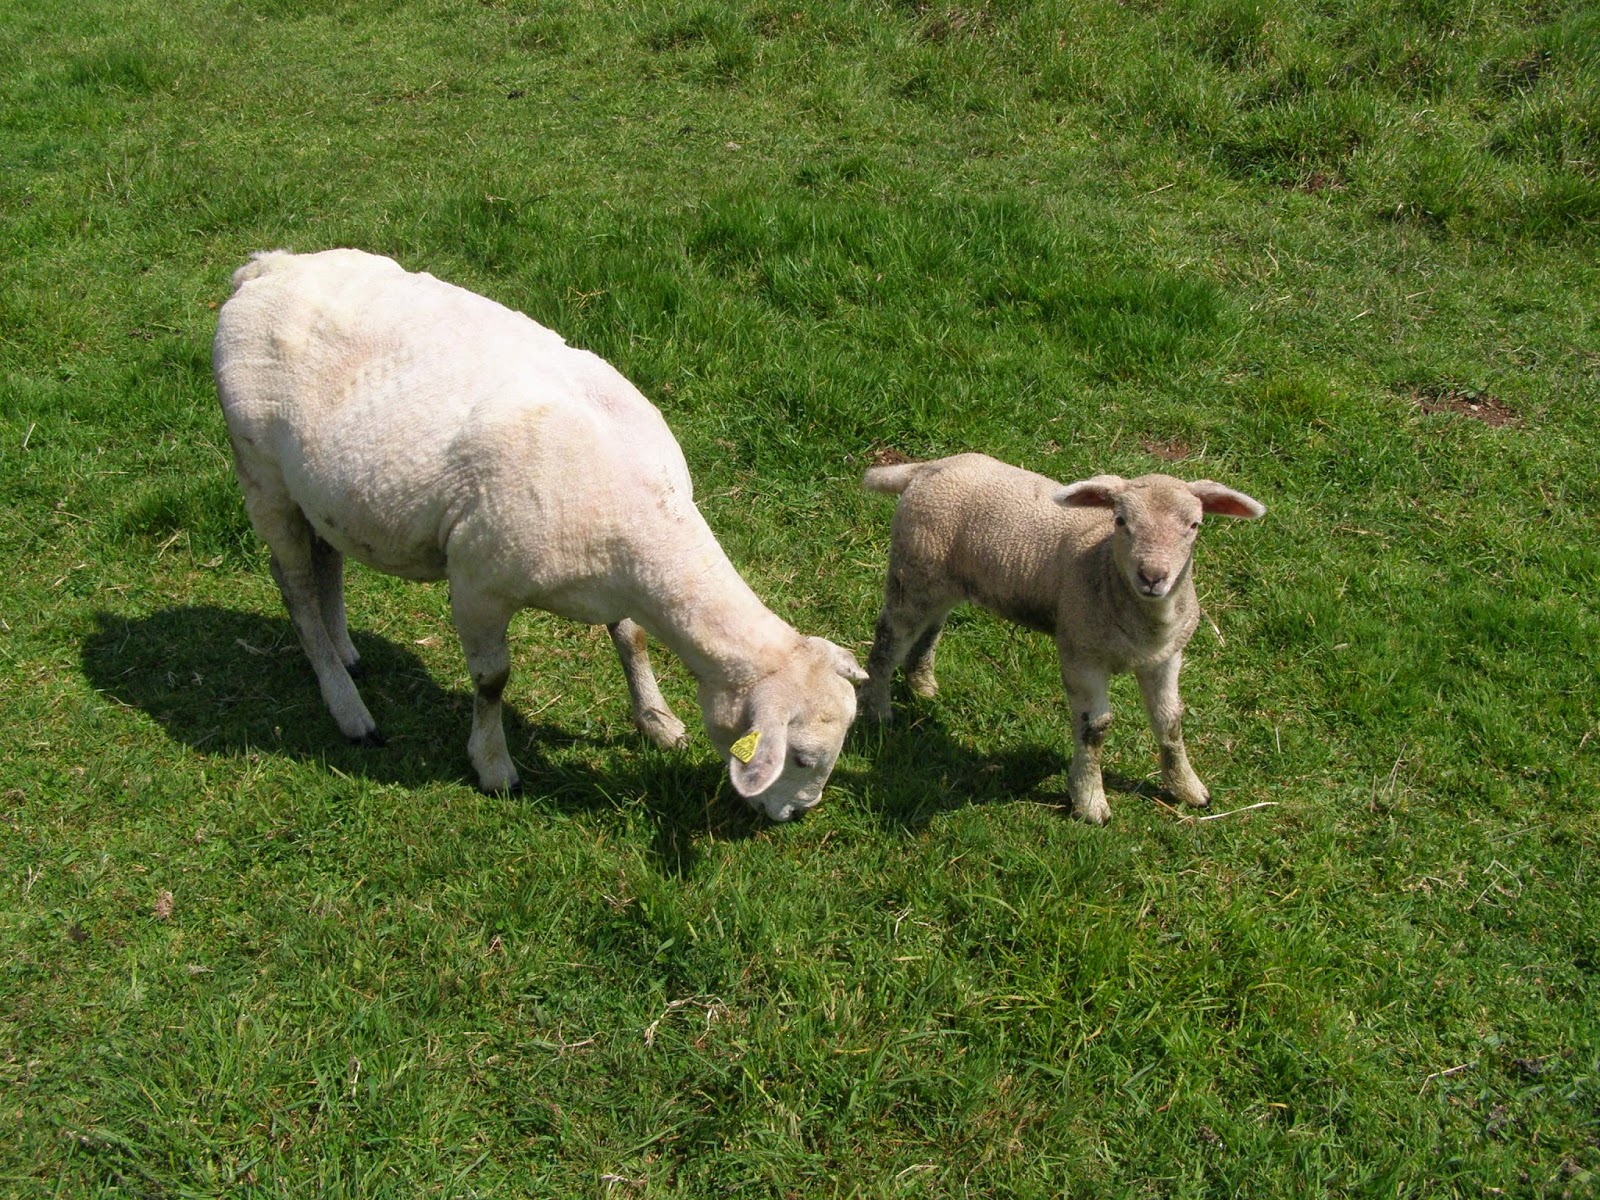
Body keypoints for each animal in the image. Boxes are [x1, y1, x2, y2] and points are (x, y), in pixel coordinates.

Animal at [212, 248, 866, 821]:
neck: (645, 541)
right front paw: (493, 765)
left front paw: (656, 721)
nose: (794, 816)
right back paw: (346, 703)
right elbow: (492, 681)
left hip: (317, 492)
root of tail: (265, 269)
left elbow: (633, 640)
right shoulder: (477, 583)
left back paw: (347, 653)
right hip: (261, 471)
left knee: (328, 561)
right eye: (801, 758)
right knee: (294, 583)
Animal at [858, 453, 1265, 824]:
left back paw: (922, 683)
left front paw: (1187, 788)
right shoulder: (1081, 655)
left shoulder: (1166, 657)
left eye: (1194, 525)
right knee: (887, 642)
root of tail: (926, 468)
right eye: (1121, 521)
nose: (1152, 576)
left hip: (944, 579)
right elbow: (1094, 729)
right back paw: (878, 712)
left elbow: (1170, 721)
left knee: (930, 630)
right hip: (913, 571)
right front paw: (1089, 800)